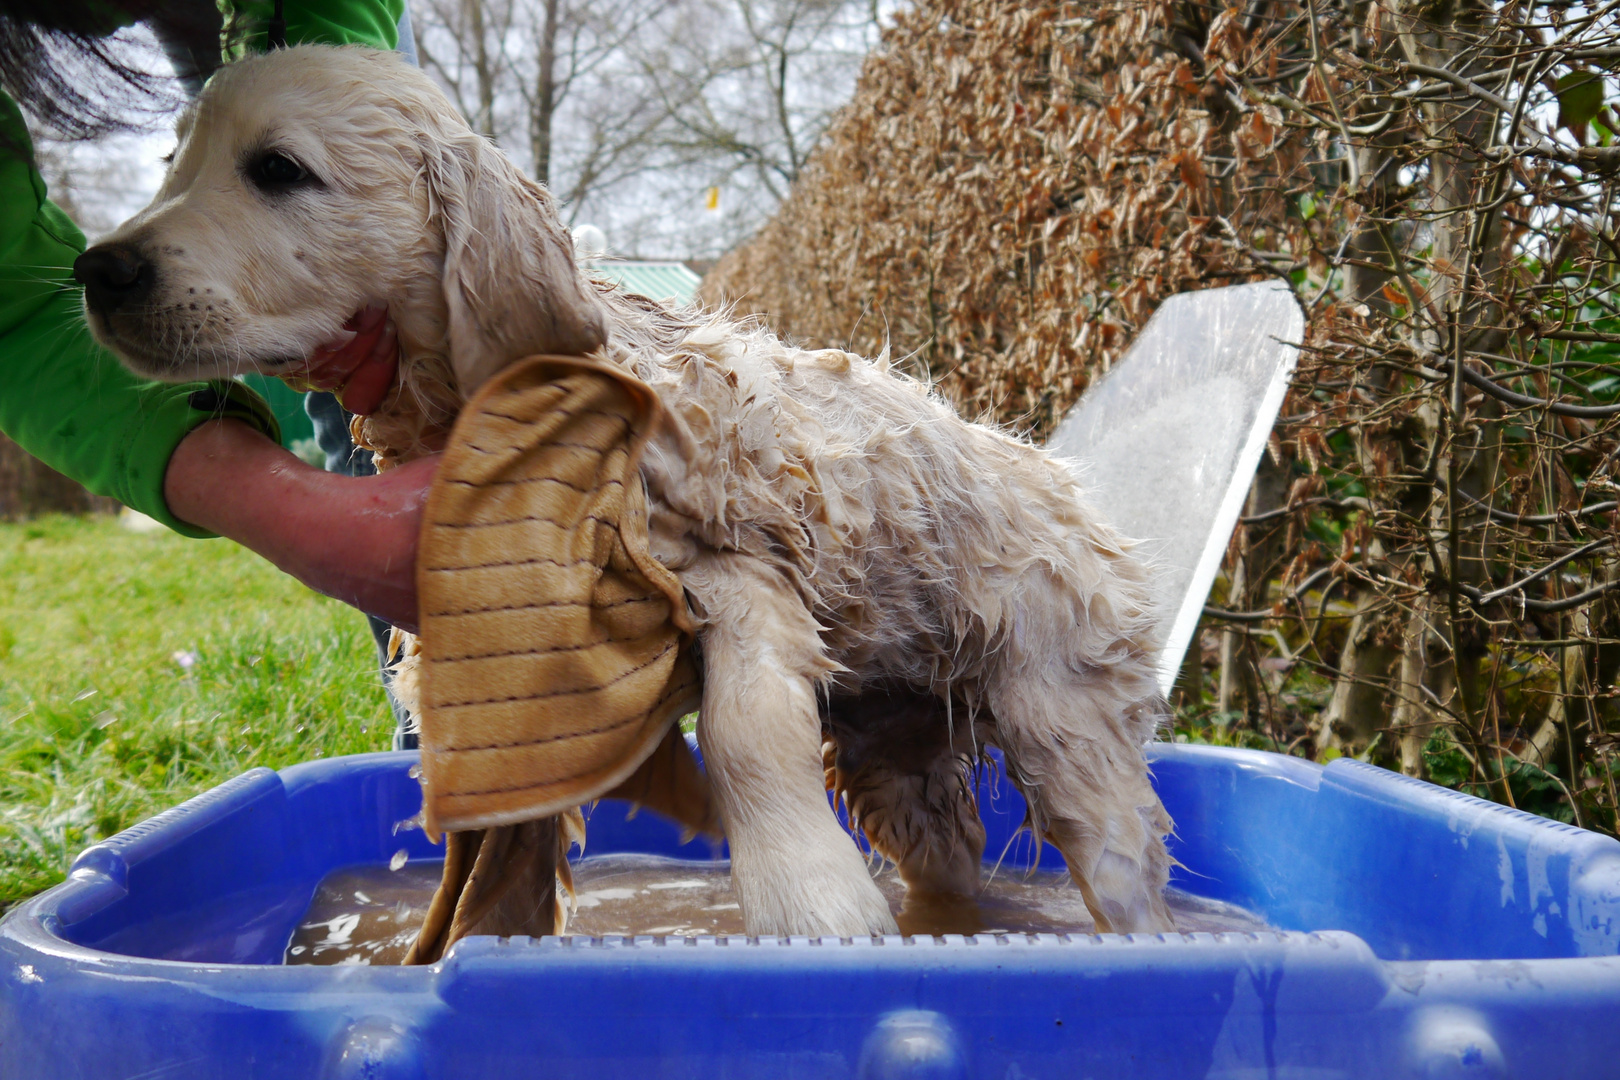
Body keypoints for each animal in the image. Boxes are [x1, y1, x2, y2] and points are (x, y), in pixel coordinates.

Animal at [78, 44, 1179, 939]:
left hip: (1065, 716)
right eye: (175, 166)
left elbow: (745, 732)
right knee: (946, 865)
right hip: (898, 755)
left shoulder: (739, 576)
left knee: (1124, 871)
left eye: (278, 170)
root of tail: (1068, 483)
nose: (99, 270)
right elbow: (497, 864)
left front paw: (809, 899)